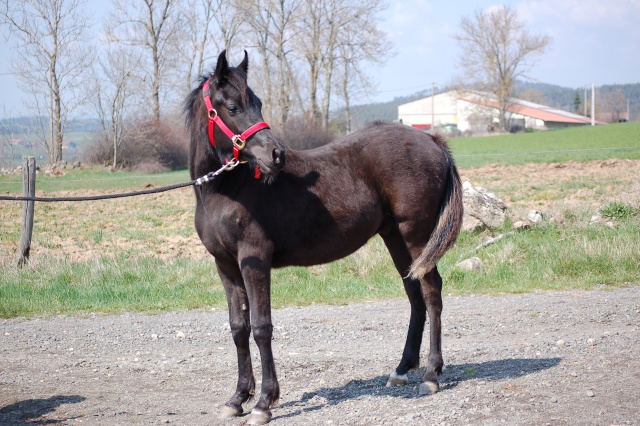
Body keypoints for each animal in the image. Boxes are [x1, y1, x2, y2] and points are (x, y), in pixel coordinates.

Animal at [182, 51, 462, 424]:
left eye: (256, 103)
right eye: (231, 106)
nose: (276, 154)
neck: (228, 190)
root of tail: (431, 140)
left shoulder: (254, 261)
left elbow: (261, 327)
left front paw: (263, 402)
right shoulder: (225, 266)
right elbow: (238, 328)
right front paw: (238, 397)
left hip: (416, 235)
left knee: (431, 292)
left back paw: (431, 374)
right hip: (395, 237)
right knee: (414, 292)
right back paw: (402, 369)